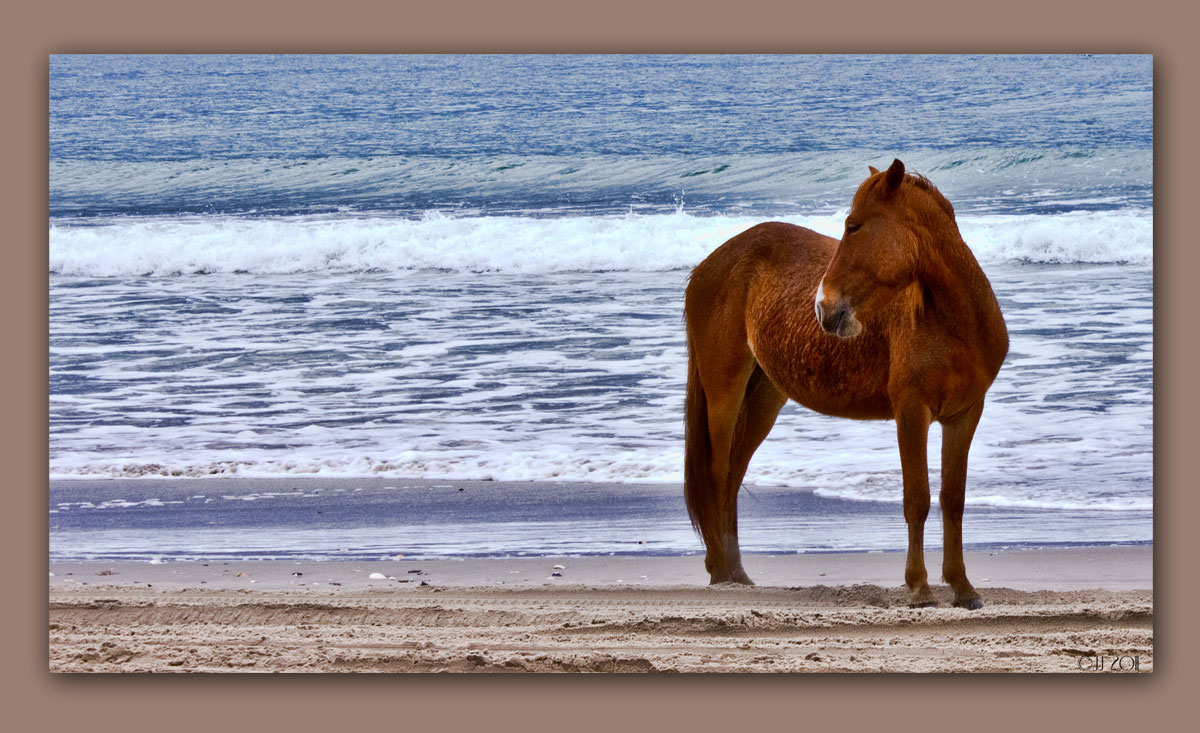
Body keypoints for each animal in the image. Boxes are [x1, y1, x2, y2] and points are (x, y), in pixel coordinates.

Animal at [681, 159, 1008, 607]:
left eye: (854, 226)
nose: (824, 309)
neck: (954, 323)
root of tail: (706, 267)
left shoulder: (964, 415)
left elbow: (952, 499)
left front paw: (962, 586)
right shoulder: (912, 413)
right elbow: (917, 499)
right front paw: (919, 586)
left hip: (764, 396)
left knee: (732, 475)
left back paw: (736, 570)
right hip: (724, 390)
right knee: (716, 473)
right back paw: (721, 570)